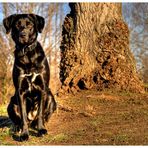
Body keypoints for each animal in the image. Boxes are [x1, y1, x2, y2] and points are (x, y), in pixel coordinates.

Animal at [3, 13, 56, 141]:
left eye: (30, 25)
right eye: (17, 25)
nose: (23, 35)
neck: (27, 53)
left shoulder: (43, 88)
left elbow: (41, 113)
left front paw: (41, 130)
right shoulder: (20, 91)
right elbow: (23, 116)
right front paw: (24, 134)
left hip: (51, 98)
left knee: (42, 116)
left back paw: (39, 124)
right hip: (11, 104)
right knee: (21, 120)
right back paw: (17, 128)